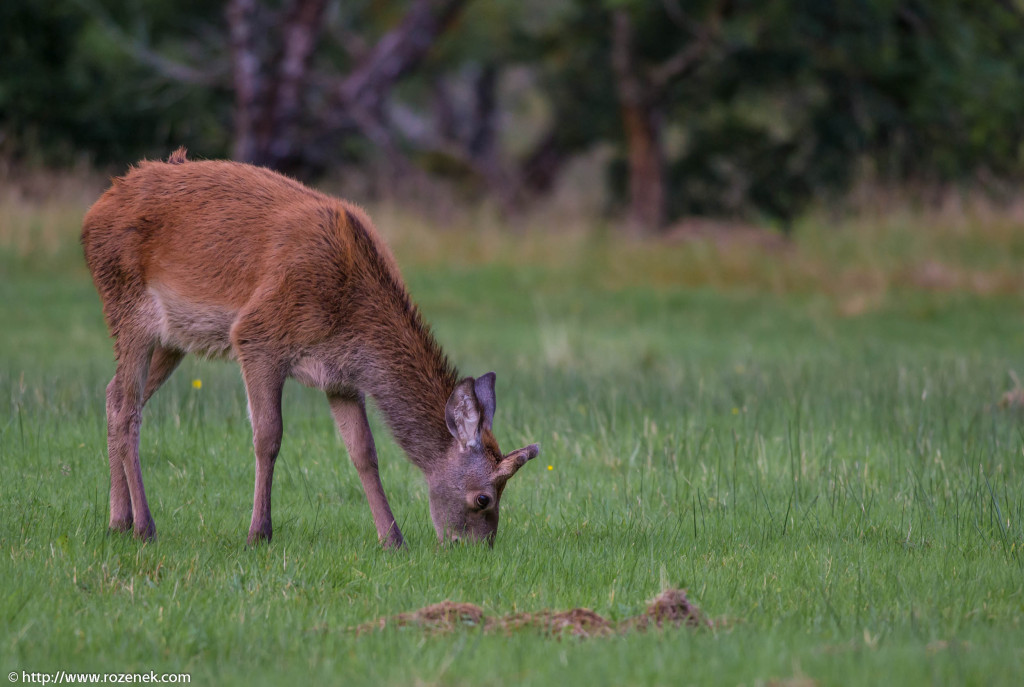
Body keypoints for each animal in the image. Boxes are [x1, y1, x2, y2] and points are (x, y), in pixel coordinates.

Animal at [79, 147, 540, 552]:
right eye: (484, 498)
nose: (477, 550)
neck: (349, 317)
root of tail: (92, 213)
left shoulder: (341, 378)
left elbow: (364, 453)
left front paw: (393, 540)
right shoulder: (257, 335)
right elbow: (268, 436)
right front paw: (258, 534)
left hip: (173, 338)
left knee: (113, 394)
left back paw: (118, 521)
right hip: (128, 306)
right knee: (128, 406)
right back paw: (145, 527)